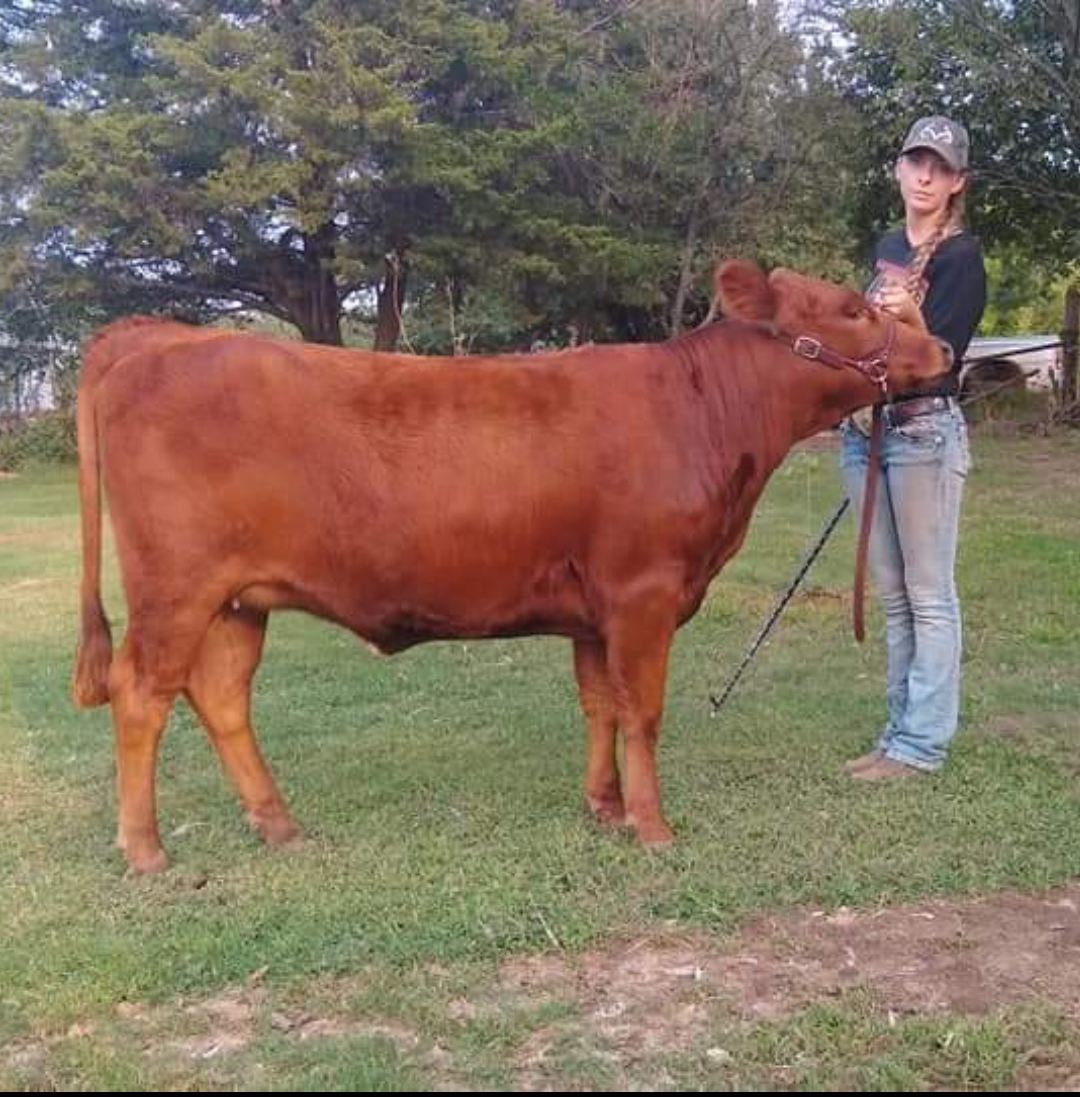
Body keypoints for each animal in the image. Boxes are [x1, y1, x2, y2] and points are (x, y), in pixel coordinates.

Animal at [72, 259, 950, 875]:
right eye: (853, 309)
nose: (941, 345)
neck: (701, 412)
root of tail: (162, 335)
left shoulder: (596, 609)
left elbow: (600, 706)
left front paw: (605, 806)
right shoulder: (644, 592)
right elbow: (643, 710)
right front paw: (654, 826)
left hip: (237, 600)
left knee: (220, 696)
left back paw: (279, 824)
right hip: (175, 591)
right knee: (140, 693)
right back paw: (145, 848)